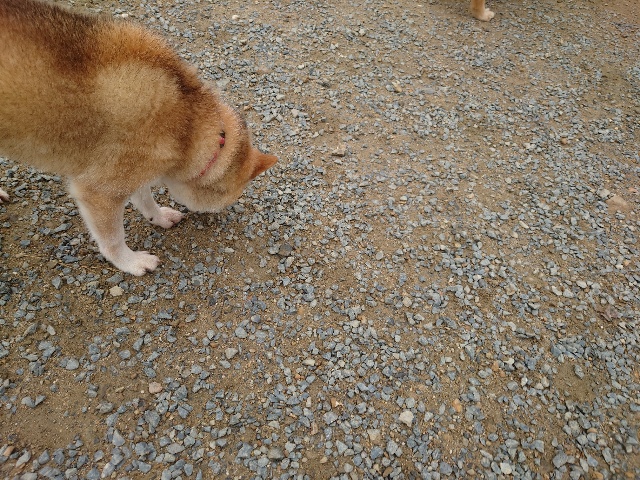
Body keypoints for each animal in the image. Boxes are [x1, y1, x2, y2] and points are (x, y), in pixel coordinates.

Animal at [0, 0, 277, 276]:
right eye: (226, 199)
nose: (220, 215)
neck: (186, 121)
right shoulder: (99, 190)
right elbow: (112, 238)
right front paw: (130, 262)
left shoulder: (136, 168)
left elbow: (144, 197)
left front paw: (158, 217)